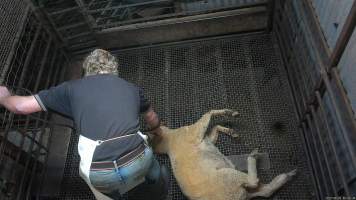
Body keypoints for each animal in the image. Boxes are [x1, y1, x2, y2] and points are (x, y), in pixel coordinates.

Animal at [150, 109, 298, 200]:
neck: (168, 141)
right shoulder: (193, 132)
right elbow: (208, 114)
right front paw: (229, 113)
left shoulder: (205, 139)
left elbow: (214, 130)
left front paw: (230, 131)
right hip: (227, 176)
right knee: (253, 181)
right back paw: (253, 156)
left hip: (243, 188)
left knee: (266, 190)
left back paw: (287, 175)